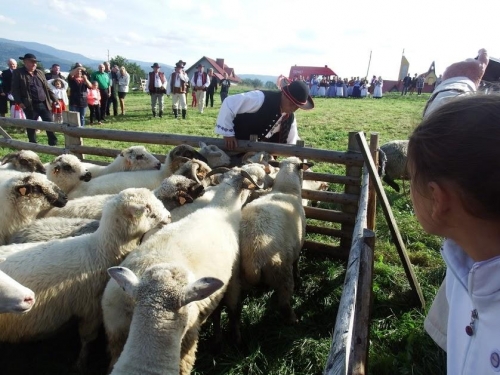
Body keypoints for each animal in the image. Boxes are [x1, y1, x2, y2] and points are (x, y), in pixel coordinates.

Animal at [0, 189, 172, 372]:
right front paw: (80, 364)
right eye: (149, 212)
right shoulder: (91, 308)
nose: (169, 216)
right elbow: (87, 339)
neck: (100, 251)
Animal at [102, 168, 264, 375]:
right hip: (184, 337)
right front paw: (236, 341)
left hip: (116, 337)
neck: (222, 210)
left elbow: (217, 314)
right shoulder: (232, 279)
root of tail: (127, 298)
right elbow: (234, 310)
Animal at [236, 155, 310, 328]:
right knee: (284, 303)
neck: (286, 190)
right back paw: (293, 319)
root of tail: (253, 261)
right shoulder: (298, 244)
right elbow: (296, 262)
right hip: (281, 273)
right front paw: (299, 275)